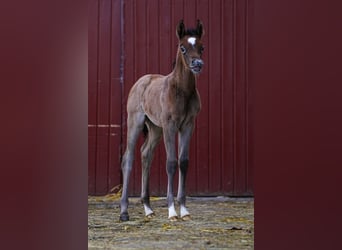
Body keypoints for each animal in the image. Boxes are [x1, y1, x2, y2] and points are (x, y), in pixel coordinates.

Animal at [120, 20, 204, 222]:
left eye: (202, 47)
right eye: (182, 47)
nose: (197, 64)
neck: (181, 91)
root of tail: (141, 80)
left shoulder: (188, 125)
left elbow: (183, 162)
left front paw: (184, 210)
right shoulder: (170, 126)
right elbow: (171, 162)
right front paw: (172, 211)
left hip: (155, 128)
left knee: (145, 154)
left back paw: (148, 209)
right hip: (136, 122)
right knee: (128, 158)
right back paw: (124, 212)